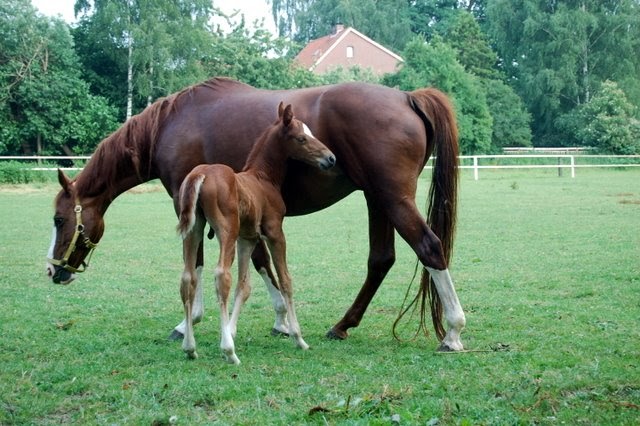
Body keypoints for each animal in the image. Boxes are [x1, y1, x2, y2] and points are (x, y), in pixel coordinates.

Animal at [46, 78, 464, 352]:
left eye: (58, 220)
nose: (53, 270)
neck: (169, 126)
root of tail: (408, 98)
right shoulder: (249, 215)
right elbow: (262, 262)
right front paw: (281, 320)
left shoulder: (188, 208)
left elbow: (198, 266)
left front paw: (189, 323)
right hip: (377, 200)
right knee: (381, 259)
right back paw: (343, 325)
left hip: (392, 199)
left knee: (429, 248)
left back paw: (453, 332)